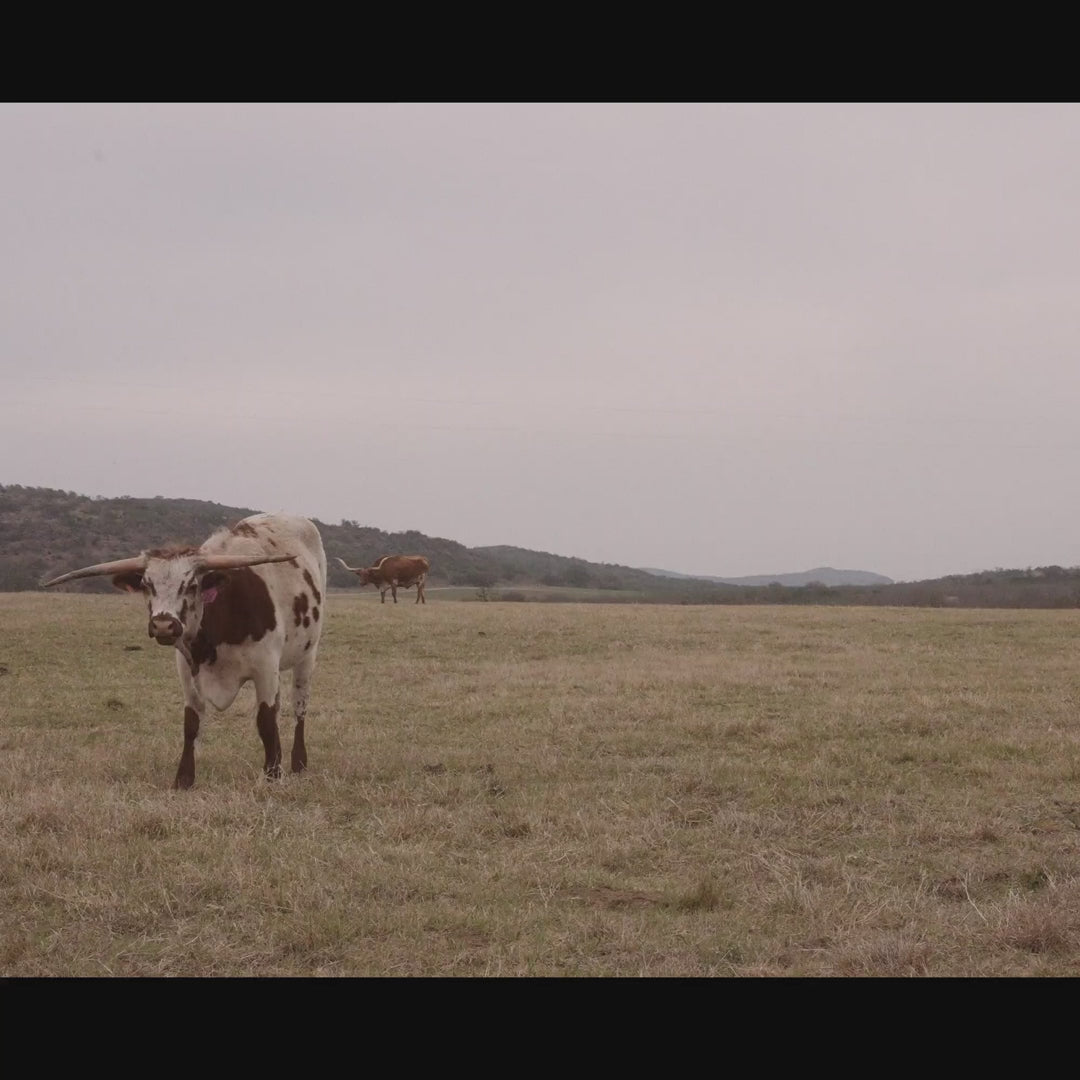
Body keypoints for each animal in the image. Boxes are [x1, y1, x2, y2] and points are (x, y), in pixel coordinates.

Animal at [42, 511, 326, 786]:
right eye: (146, 585)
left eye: (191, 585)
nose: (163, 625)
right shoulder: (187, 669)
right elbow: (191, 723)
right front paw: (184, 778)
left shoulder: (265, 667)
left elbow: (266, 721)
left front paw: (272, 774)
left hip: (307, 657)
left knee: (299, 706)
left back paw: (298, 762)